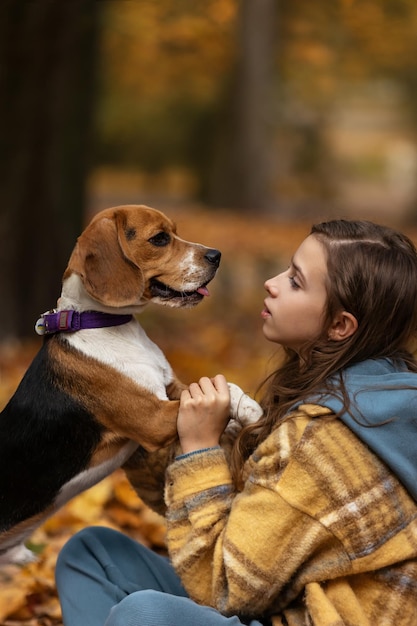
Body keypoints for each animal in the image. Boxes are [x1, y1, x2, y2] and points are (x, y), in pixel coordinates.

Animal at [0, 204, 260, 560]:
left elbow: (215, 384)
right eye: (160, 238)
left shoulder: (171, 388)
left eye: (174, 232)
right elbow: (223, 391)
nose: (216, 255)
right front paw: (250, 412)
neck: (103, 324)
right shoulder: (152, 417)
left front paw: (238, 420)